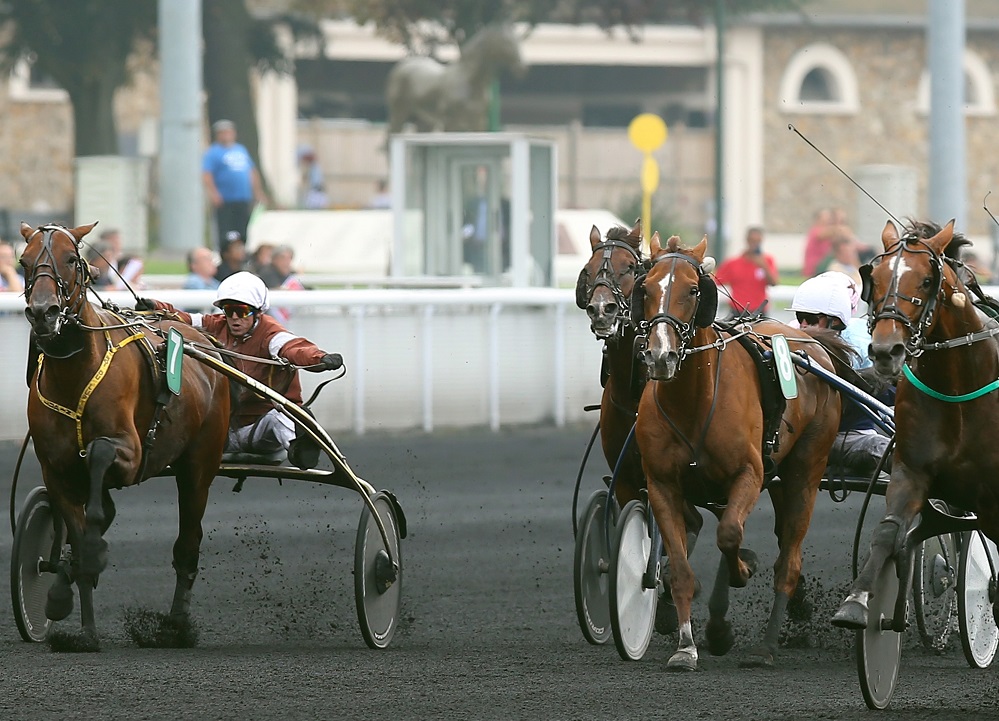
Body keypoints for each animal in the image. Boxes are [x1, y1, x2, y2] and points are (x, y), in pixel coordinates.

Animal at [21, 221, 229, 648]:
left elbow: (100, 457)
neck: (75, 376)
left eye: (71, 258)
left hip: (199, 465)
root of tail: (203, 341)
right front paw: (79, 624)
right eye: (23, 261)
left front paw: (92, 555)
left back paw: (176, 626)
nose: (44, 312)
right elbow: (78, 532)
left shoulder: (131, 454)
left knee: (188, 543)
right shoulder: (56, 469)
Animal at [636, 233, 848, 668]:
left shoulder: (748, 473)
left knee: (789, 560)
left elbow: (730, 534)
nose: (661, 356)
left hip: (805, 470)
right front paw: (686, 646)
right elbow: (681, 567)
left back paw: (765, 646)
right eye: (645, 288)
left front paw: (745, 569)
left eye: (694, 290)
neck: (694, 402)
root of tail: (812, 344)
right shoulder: (663, 484)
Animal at [832, 221, 999, 632]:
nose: (885, 351)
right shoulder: (911, 470)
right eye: (873, 276)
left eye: (926, 280)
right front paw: (856, 602)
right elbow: (889, 530)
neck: (958, 387)